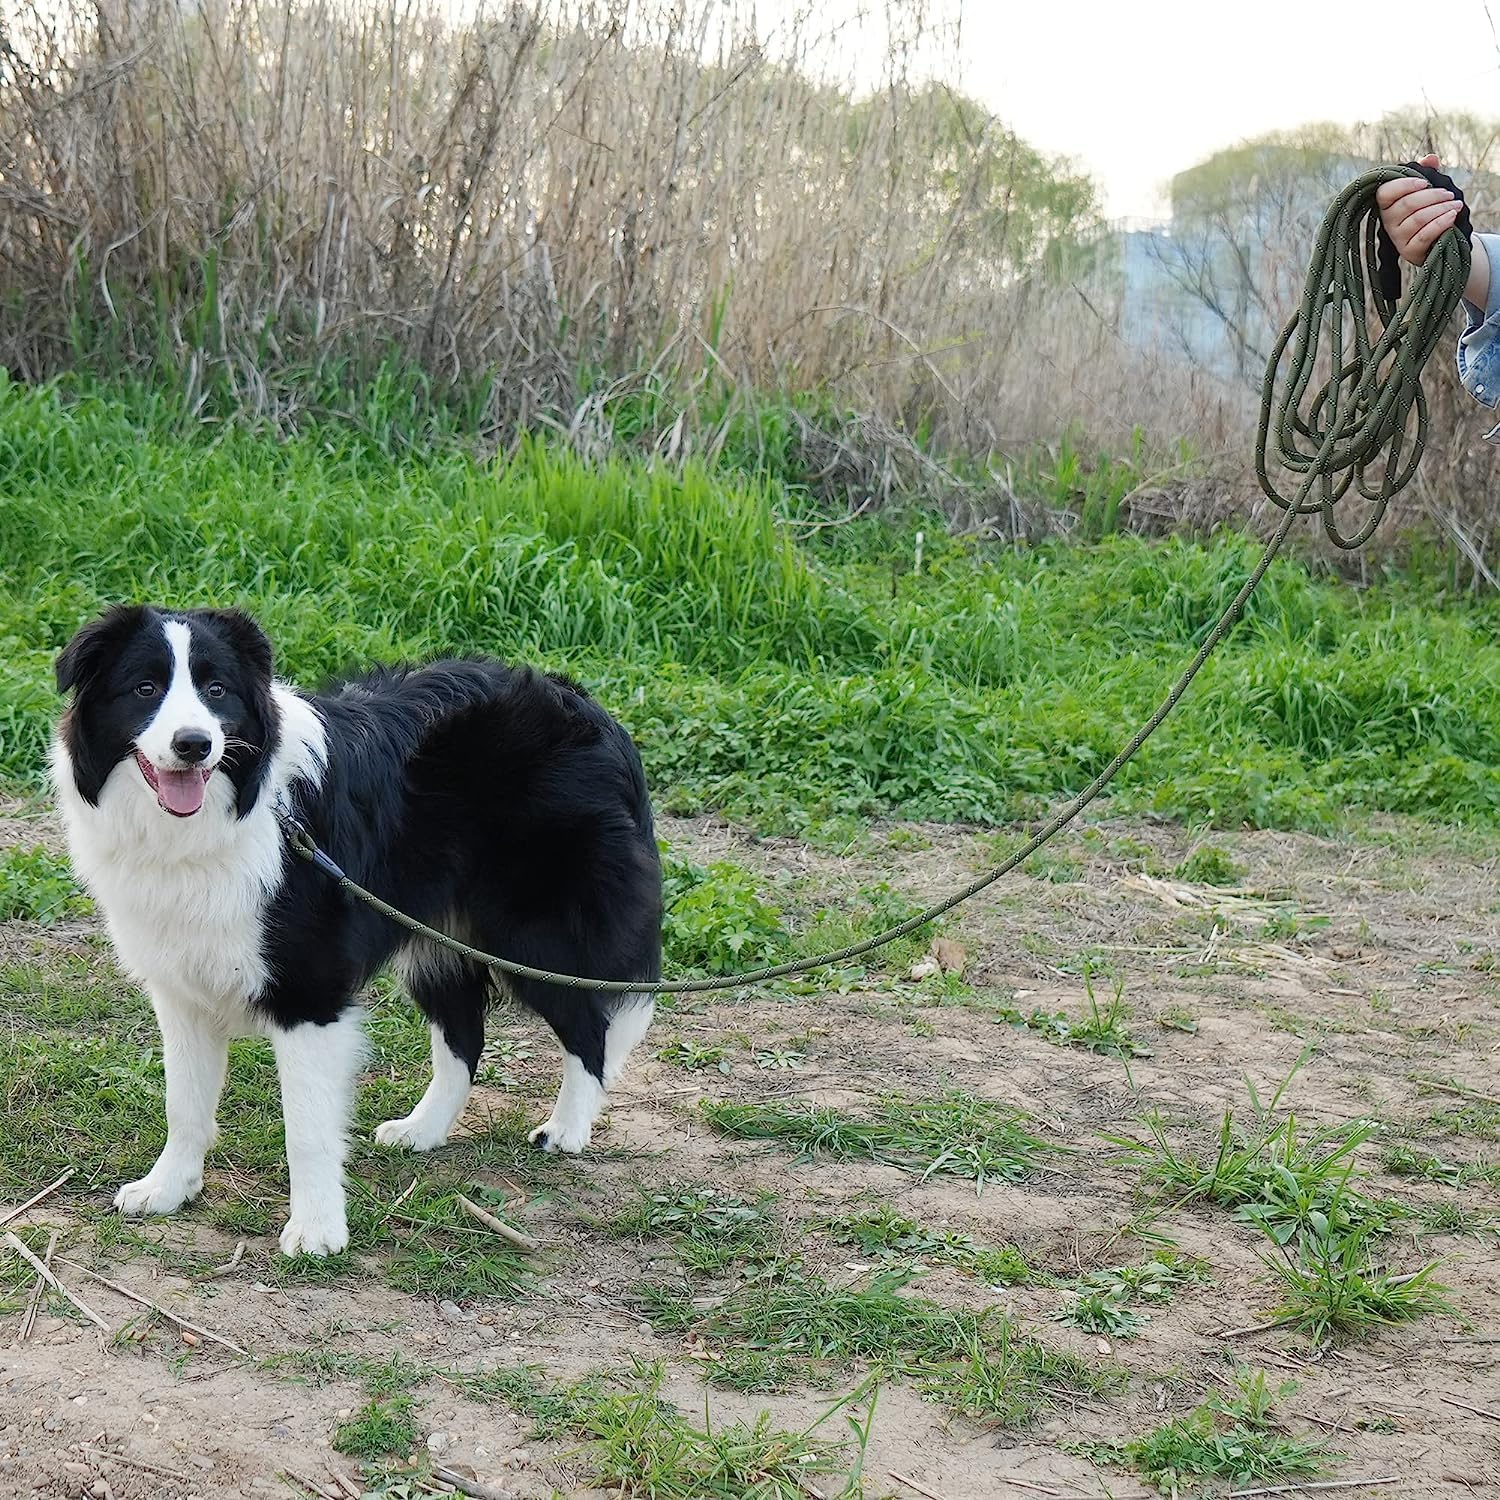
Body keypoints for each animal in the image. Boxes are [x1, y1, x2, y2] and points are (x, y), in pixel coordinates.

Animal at [52, 606, 663, 1254]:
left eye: (216, 690)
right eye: (145, 689)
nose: (194, 745)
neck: (228, 816)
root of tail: (588, 708)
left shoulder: (310, 995)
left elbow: (308, 1128)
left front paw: (317, 1231)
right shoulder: (182, 991)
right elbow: (184, 1104)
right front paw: (168, 1190)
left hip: (534, 938)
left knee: (590, 1029)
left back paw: (565, 1131)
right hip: (437, 937)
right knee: (464, 1035)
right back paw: (423, 1130)